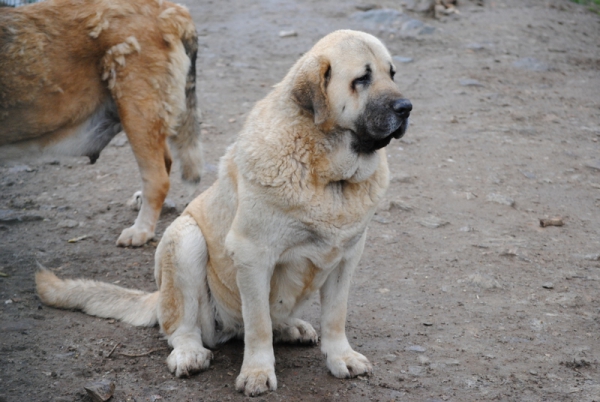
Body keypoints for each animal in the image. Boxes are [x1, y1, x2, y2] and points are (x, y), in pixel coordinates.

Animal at [35, 30, 412, 396]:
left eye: (392, 74)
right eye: (362, 79)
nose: (407, 107)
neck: (332, 178)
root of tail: (158, 298)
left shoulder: (346, 257)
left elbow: (335, 316)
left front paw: (340, 357)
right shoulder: (253, 255)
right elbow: (258, 325)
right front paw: (258, 372)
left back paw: (291, 328)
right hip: (184, 241)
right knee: (181, 328)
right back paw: (189, 353)